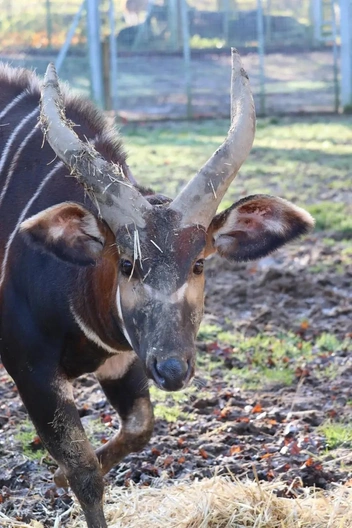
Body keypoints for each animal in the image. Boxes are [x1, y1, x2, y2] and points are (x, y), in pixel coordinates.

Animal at [0, 50, 314, 528]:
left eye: (198, 262)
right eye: (128, 263)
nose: (172, 369)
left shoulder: (124, 362)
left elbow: (139, 429)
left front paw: (55, 476)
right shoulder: (32, 370)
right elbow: (85, 471)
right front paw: (63, 476)